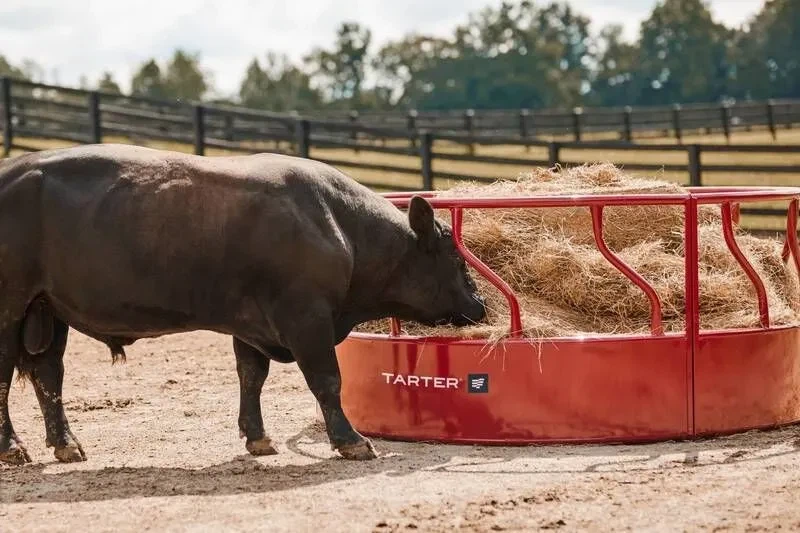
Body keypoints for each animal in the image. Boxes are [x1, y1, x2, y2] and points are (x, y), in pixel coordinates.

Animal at [0, 144, 486, 465]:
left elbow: (251, 376)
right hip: (10, 308)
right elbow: (327, 379)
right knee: (8, 377)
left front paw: (257, 437)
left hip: (46, 309)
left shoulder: (251, 323)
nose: (480, 304)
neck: (337, 223)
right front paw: (350, 441)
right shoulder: (306, 317)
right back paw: (12, 447)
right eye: (453, 255)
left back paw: (66, 443)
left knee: (48, 374)